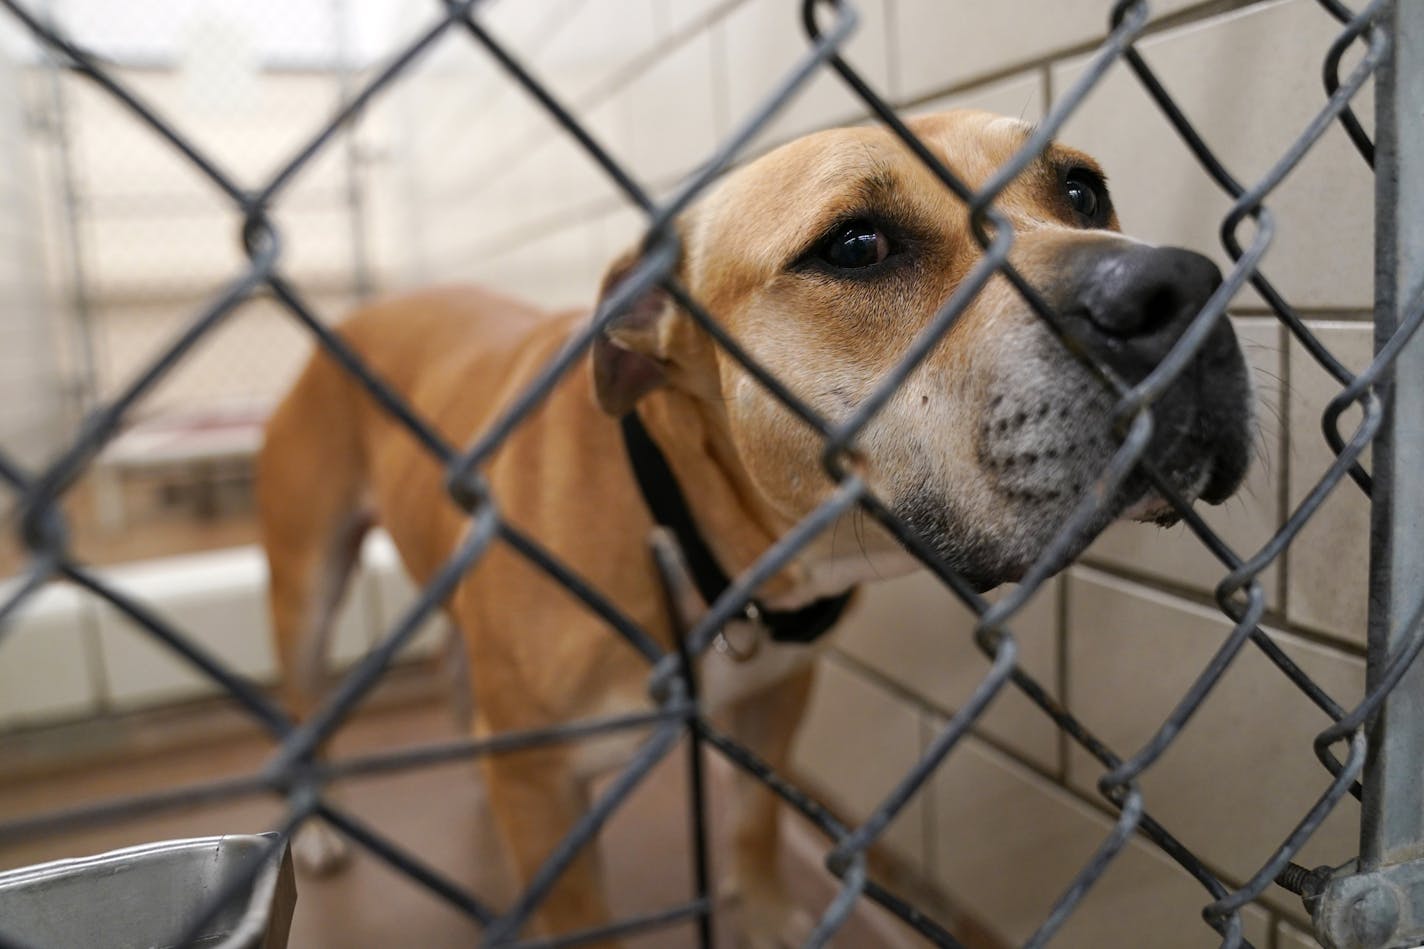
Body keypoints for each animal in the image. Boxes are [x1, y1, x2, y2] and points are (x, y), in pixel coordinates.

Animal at [262, 109, 1253, 940]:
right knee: (304, 696)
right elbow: (579, 908)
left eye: (1082, 190)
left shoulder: (776, 696)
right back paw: (311, 833)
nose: (1176, 286)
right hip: (307, 584)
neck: (691, 524)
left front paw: (769, 918)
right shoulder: (546, 788)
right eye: (856, 245)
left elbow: (753, 824)